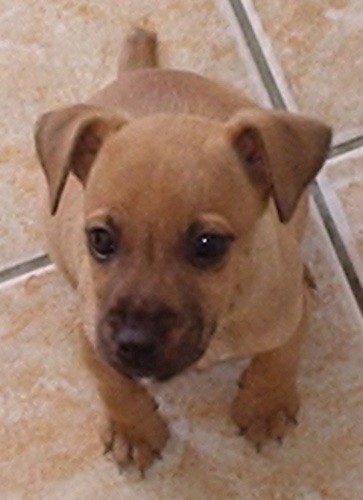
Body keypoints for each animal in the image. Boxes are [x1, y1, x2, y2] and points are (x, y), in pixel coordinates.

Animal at [34, 28, 332, 472]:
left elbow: (280, 357)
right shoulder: (92, 338)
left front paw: (264, 405)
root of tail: (142, 72)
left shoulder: (289, 317)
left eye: (208, 245)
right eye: (100, 240)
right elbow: (111, 383)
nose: (134, 343)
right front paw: (133, 429)